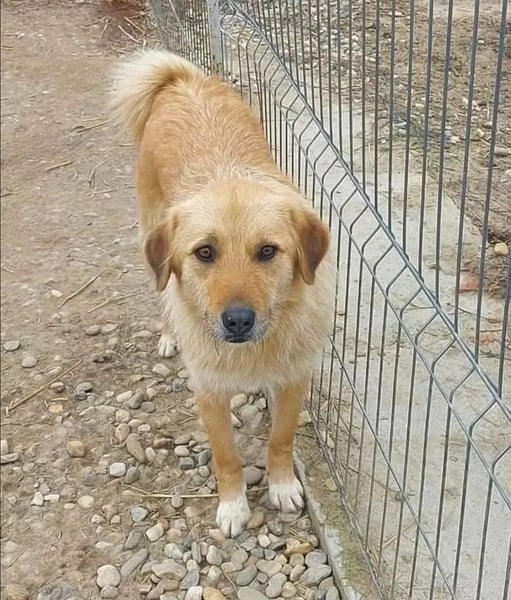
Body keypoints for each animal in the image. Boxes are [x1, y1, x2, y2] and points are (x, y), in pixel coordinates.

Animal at [111, 49, 333, 536]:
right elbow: (226, 456)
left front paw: (282, 485)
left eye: (267, 251)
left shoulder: (294, 377)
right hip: (149, 234)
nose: (237, 320)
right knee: (161, 292)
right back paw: (169, 334)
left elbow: (281, 438)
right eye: (204, 252)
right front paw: (233, 506)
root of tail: (182, 80)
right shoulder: (208, 390)